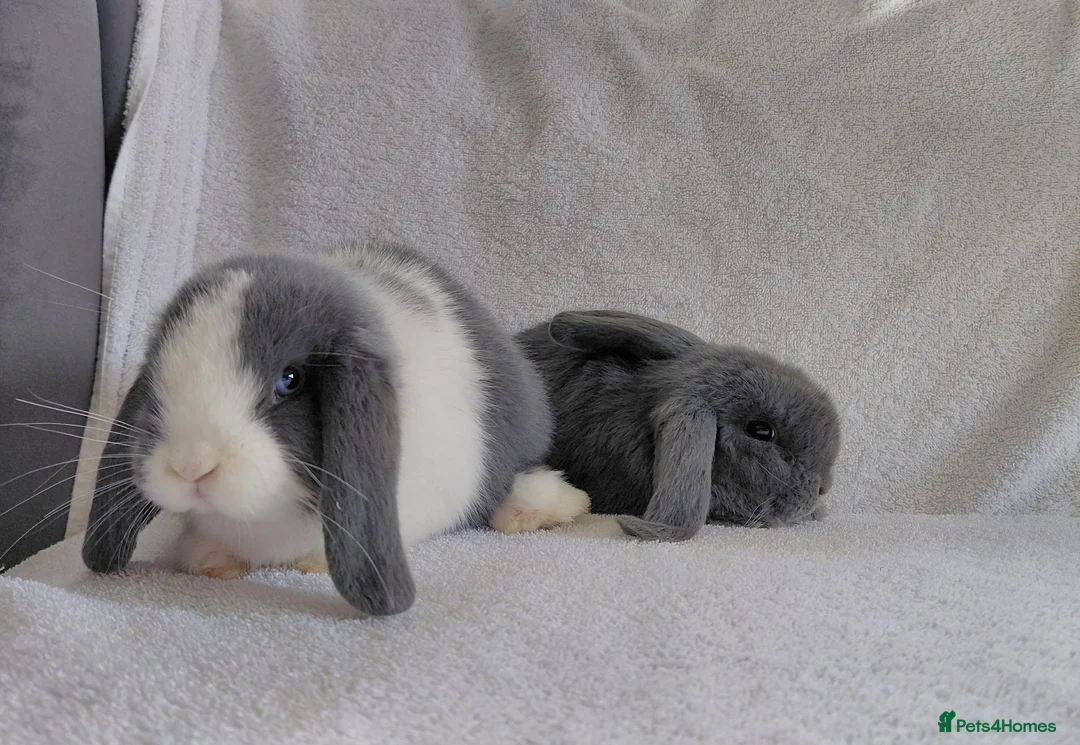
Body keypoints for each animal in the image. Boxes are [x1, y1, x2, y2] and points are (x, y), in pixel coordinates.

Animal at [81, 242, 589, 616]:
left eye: (290, 380)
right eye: (160, 375)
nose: (192, 466)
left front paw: (314, 566)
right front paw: (212, 563)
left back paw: (538, 509)